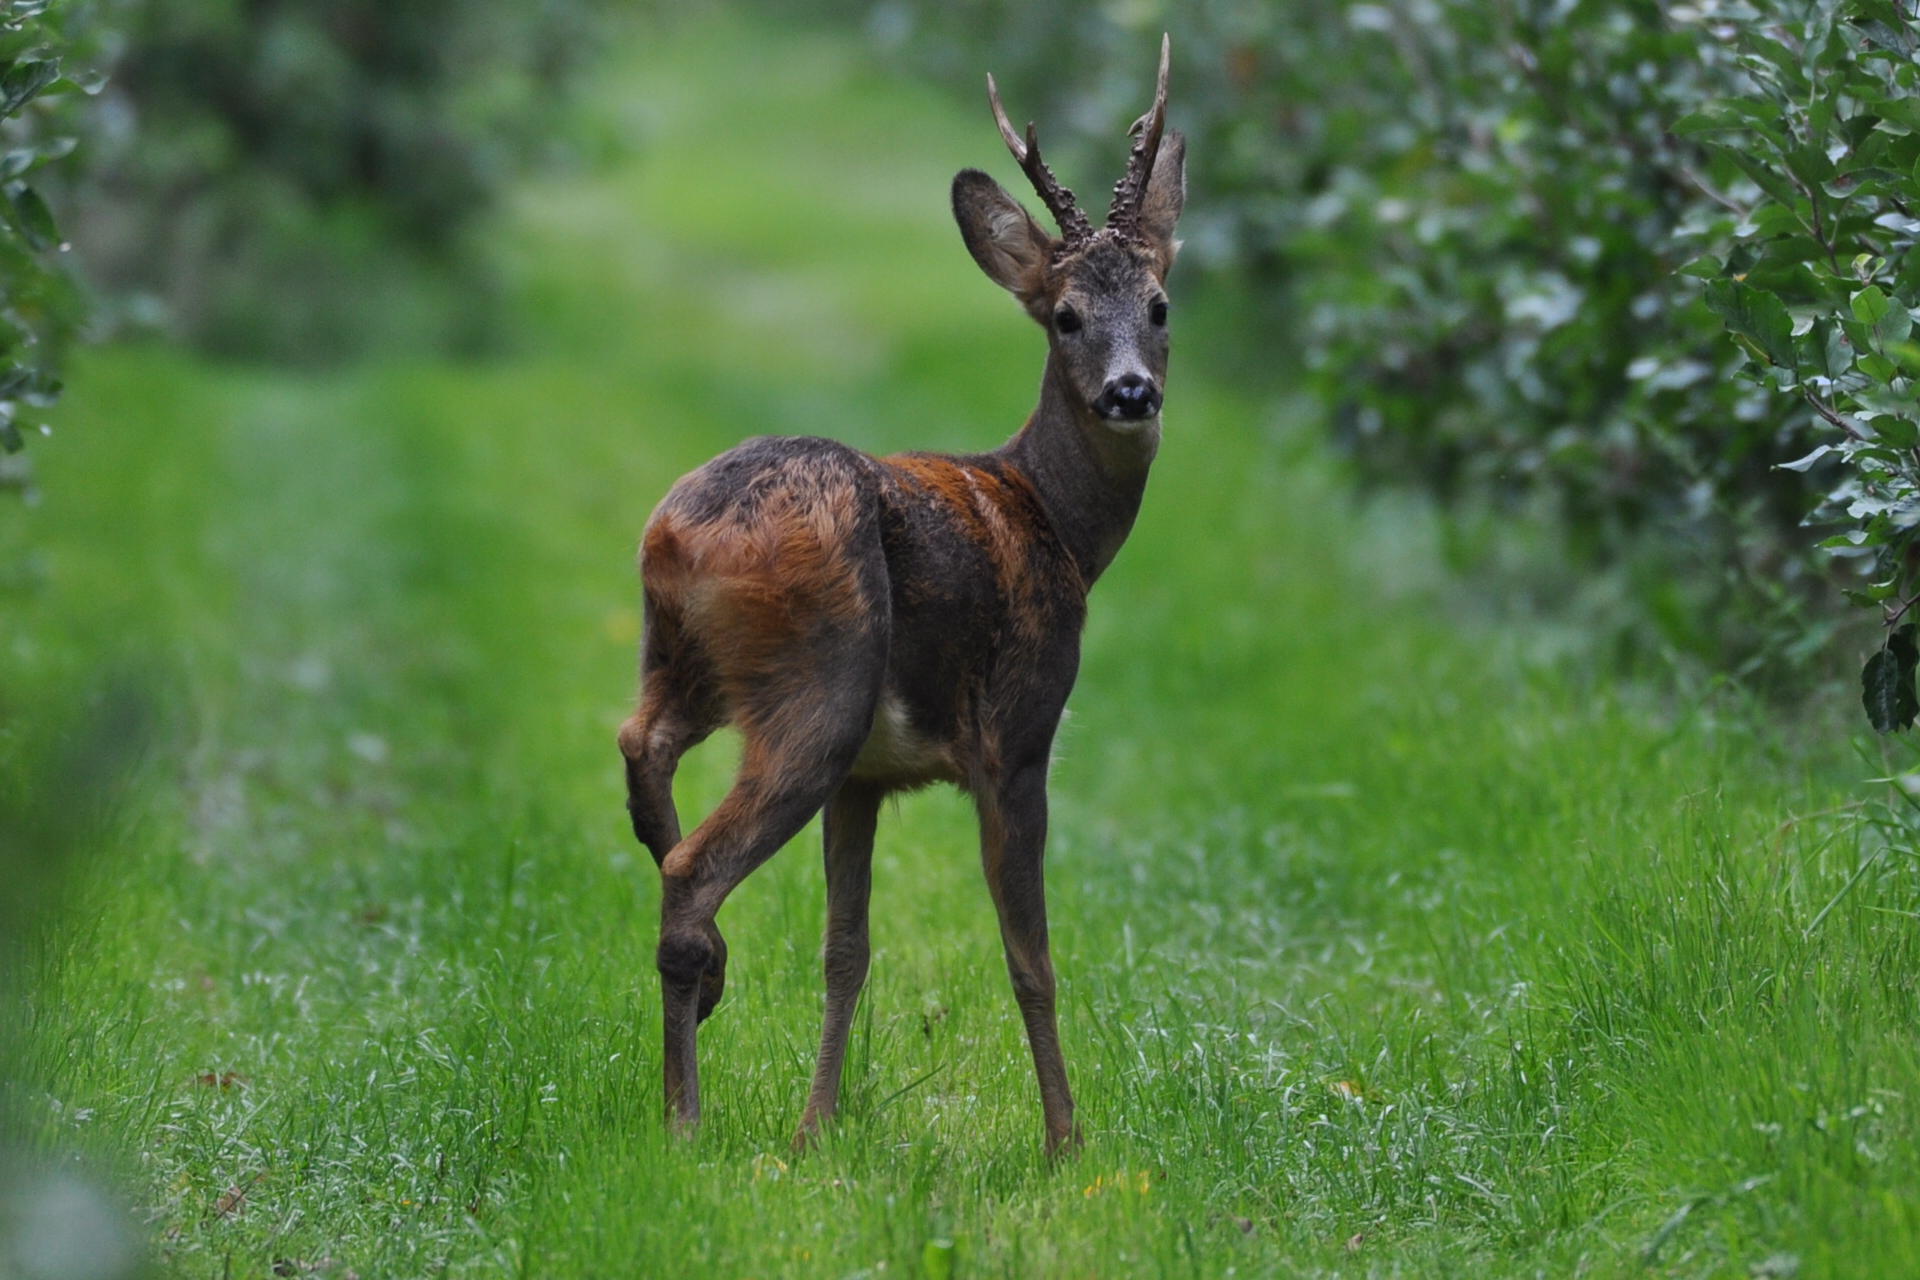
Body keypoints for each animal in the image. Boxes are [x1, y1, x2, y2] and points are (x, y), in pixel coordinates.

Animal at [617, 36, 1183, 1157]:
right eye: (1065, 316)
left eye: (1159, 305)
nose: (1131, 391)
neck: (1054, 519)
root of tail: (678, 532)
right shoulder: (1016, 734)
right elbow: (1030, 956)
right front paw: (1065, 1141)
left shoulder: (867, 782)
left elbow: (848, 949)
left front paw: (815, 1126)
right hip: (821, 679)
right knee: (692, 865)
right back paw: (684, 1113)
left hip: (686, 660)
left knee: (639, 746)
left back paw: (710, 989)